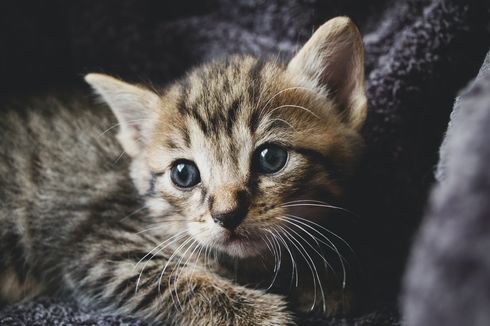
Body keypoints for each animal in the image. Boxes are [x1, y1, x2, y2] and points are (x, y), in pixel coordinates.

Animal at [0, 16, 366, 324]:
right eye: (183, 174)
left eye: (271, 158)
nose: (227, 215)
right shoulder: (100, 247)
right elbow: (175, 279)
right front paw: (259, 313)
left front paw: (322, 280)